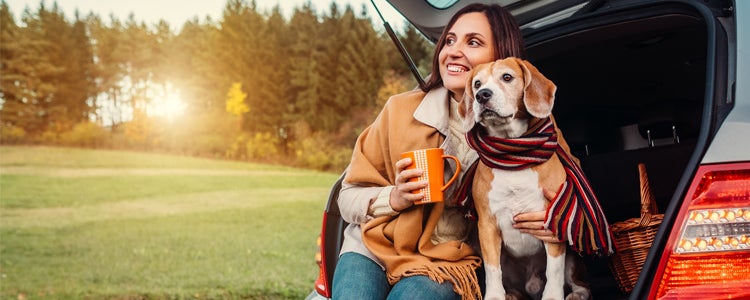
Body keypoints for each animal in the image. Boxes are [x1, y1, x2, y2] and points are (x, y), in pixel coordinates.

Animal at [458, 57, 592, 298]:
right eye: (476, 84)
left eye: (507, 77)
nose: (482, 95)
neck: (513, 156)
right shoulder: (487, 226)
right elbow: (493, 271)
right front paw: (495, 296)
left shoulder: (552, 222)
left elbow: (554, 270)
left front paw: (553, 296)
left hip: (573, 260)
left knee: (581, 285)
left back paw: (576, 294)